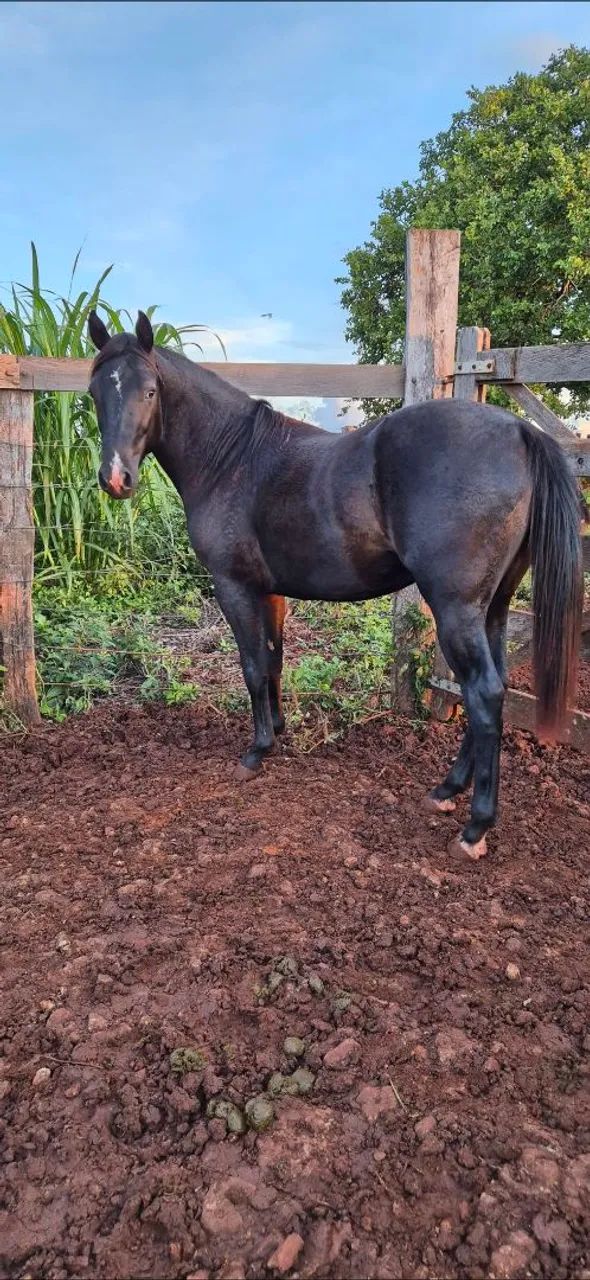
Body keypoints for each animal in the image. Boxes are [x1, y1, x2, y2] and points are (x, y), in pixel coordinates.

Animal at [87, 311, 582, 860]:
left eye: (150, 391)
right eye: (94, 391)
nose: (115, 477)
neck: (232, 460)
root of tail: (519, 431)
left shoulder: (233, 587)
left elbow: (252, 666)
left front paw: (255, 752)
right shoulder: (270, 592)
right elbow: (274, 661)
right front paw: (277, 732)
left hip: (456, 610)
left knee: (484, 695)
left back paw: (474, 827)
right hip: (492, 608)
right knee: (490, 690)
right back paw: (446, 789)